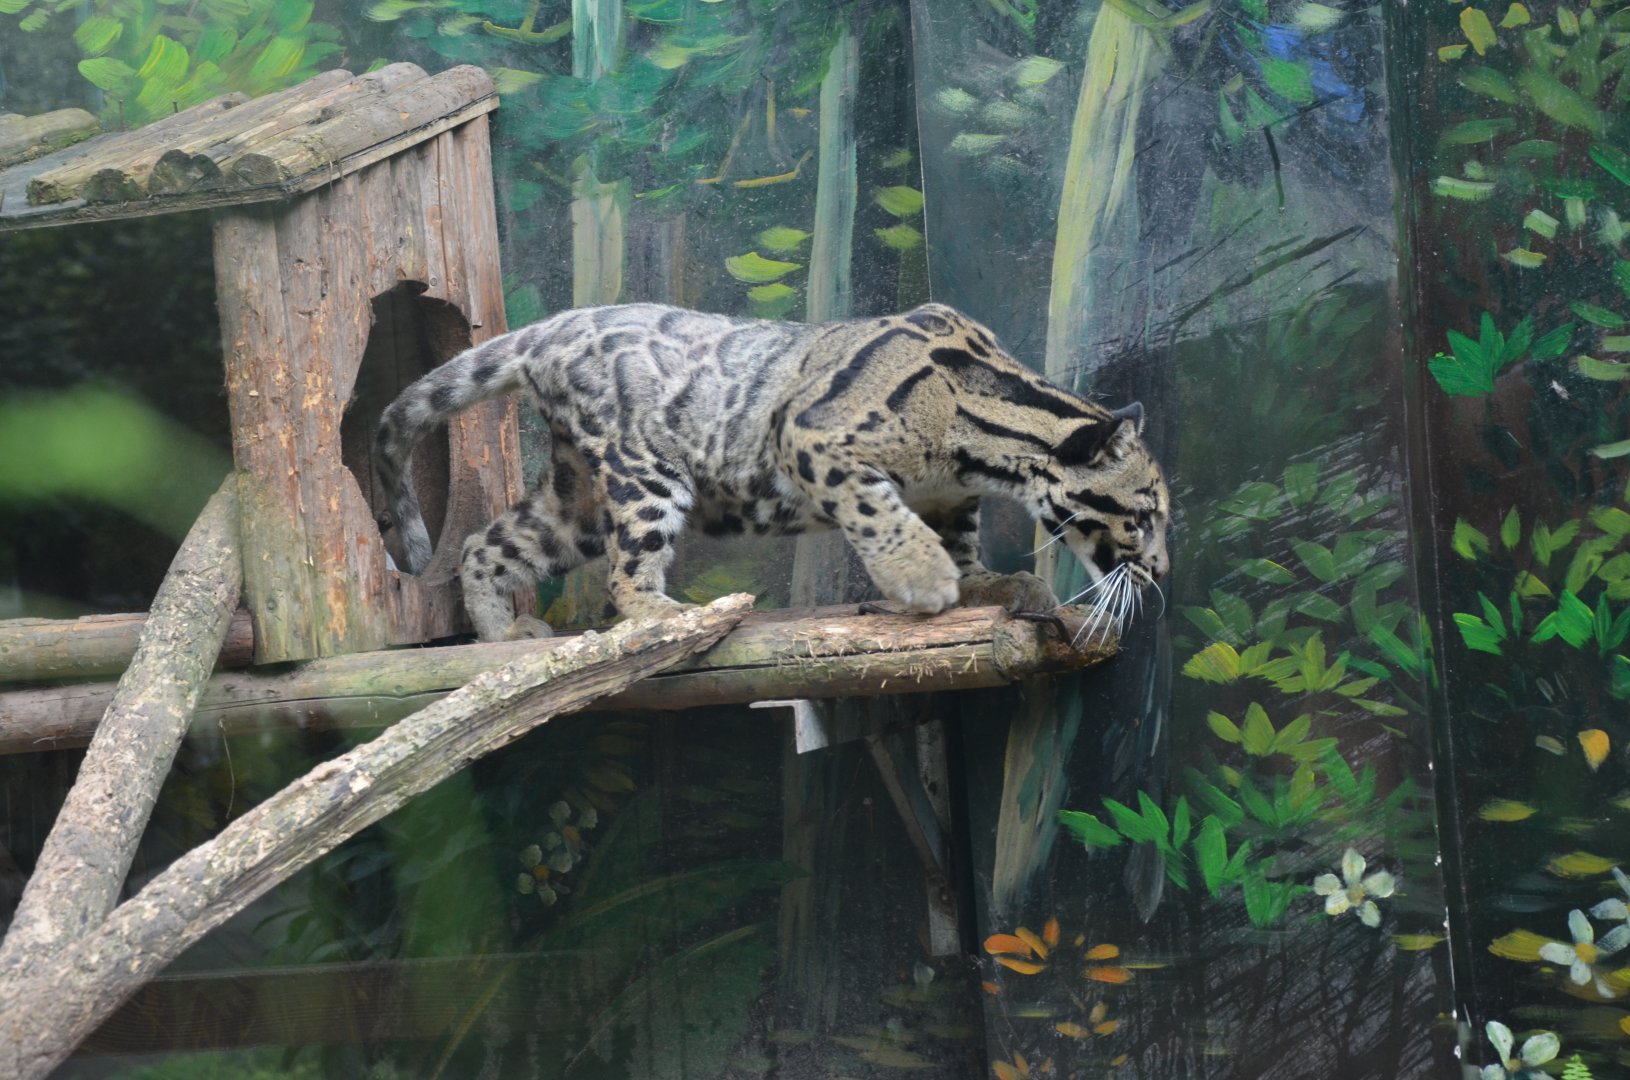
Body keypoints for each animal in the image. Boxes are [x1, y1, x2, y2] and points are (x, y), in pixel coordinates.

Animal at [373, 302, 1169, 641]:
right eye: (1145, 518)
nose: (1161, 571)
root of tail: (549, 327)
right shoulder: (810, 436)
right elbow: (882, 514)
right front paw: (924, 581)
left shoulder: (949, 499)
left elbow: (964, 546)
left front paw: (984, 583)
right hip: (646, 474)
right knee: (625, 584)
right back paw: (668, 615)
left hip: (577, 503)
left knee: (486, 543)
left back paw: (497, 637)